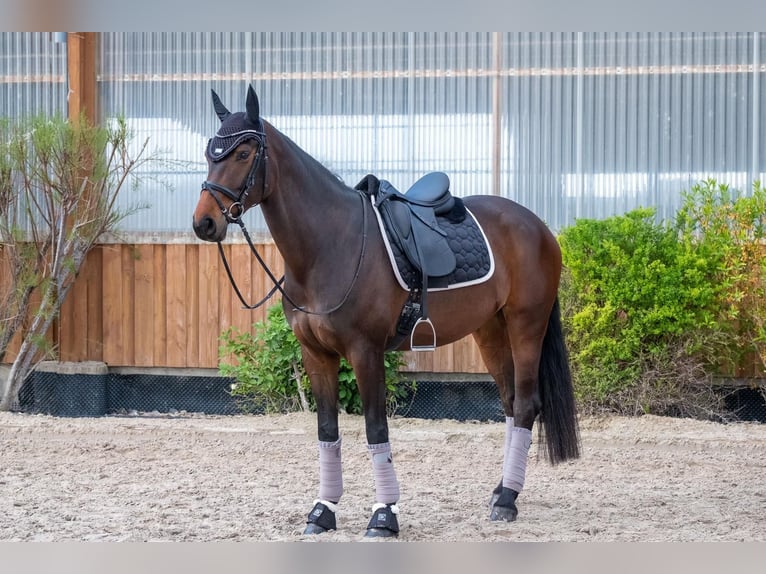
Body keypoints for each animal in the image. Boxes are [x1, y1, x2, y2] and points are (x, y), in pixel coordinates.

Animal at [192, 85, 580, 538]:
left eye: (243, 152)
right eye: (210, 152)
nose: (204, 223)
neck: (330, 245)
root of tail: (538, 226)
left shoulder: (366, 351)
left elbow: (376, 428)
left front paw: (384, 515)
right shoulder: (316, 355)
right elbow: (327, 430)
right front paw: (322, 511)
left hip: (526, 326)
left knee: (526, 405)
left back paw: (506, 501)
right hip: (490, 330)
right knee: (510, 402)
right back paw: (502, 491)